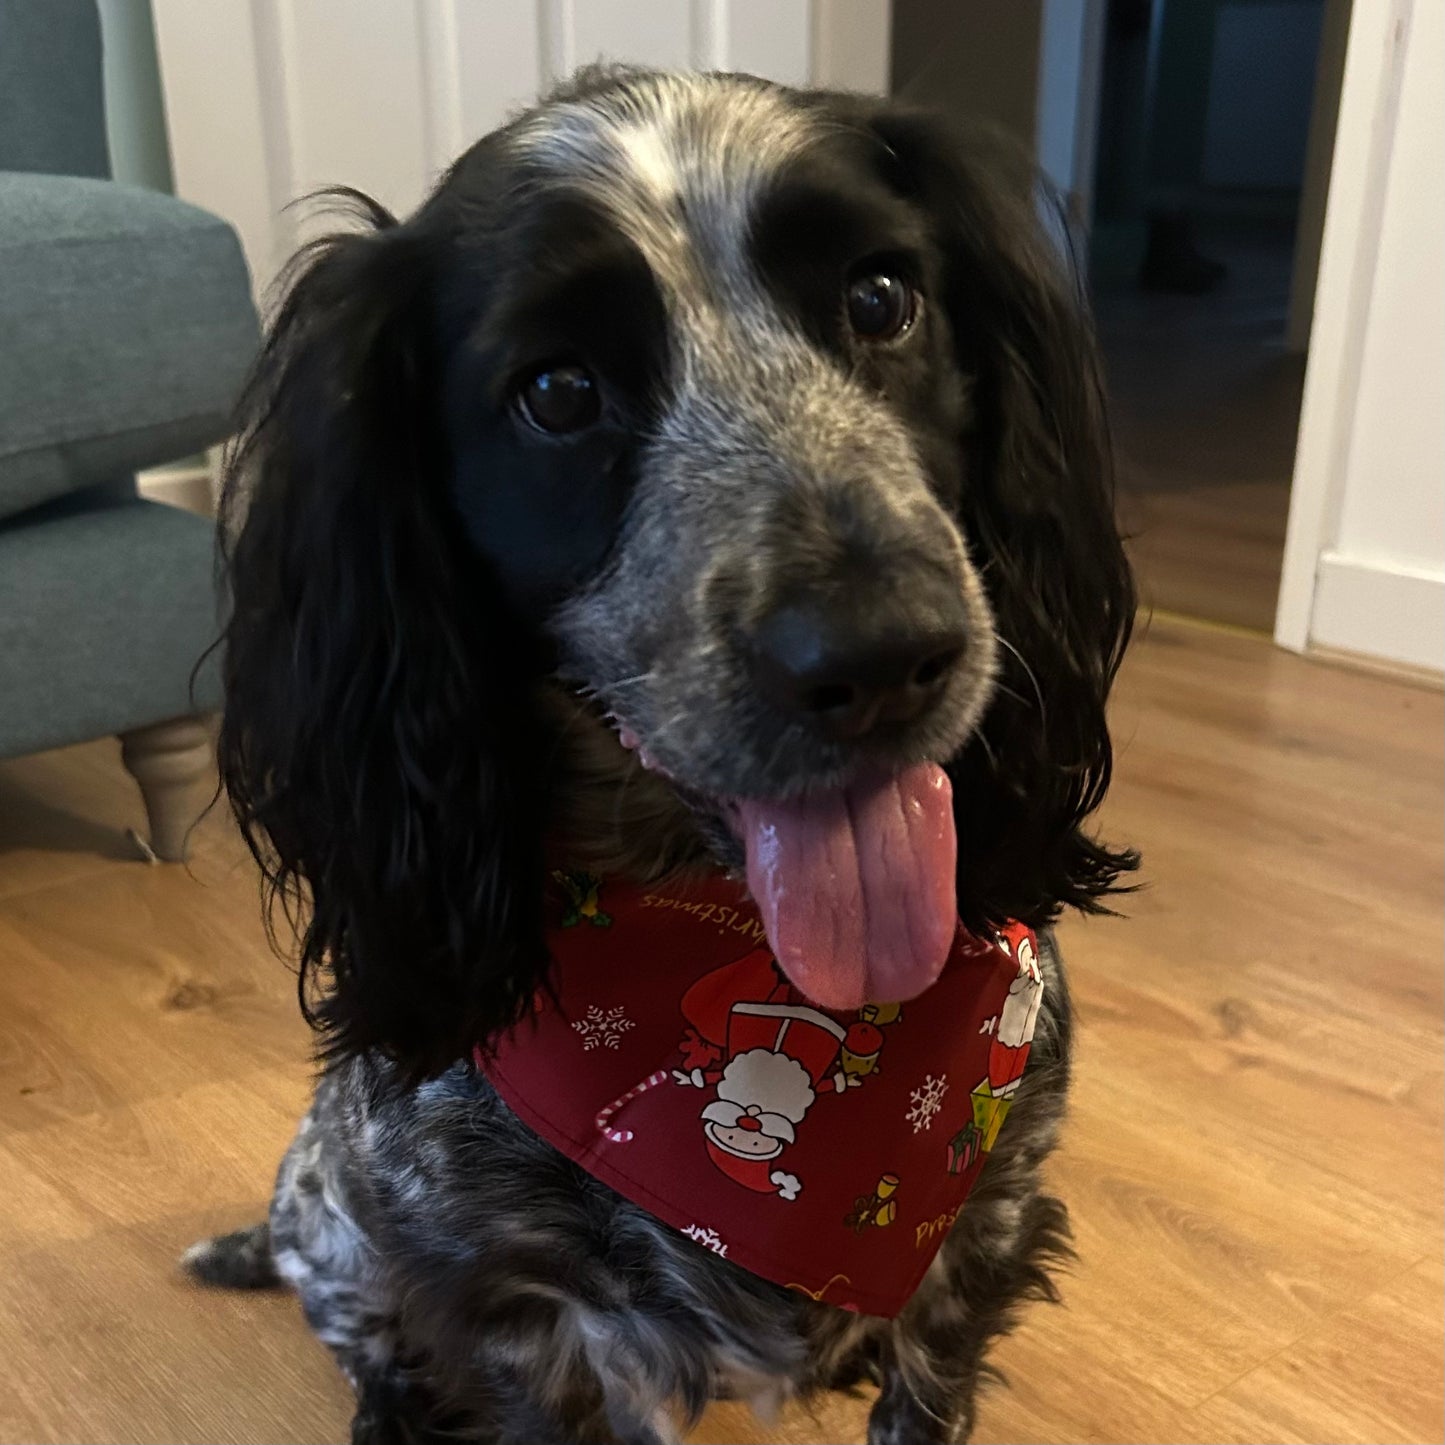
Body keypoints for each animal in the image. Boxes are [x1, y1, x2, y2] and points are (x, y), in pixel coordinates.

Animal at [189, 67, 1138, 1445]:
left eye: (878, 298)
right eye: (556, 392)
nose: (883, 654)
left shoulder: (975, 1241)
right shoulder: (531, 1318)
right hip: (334, 1224)